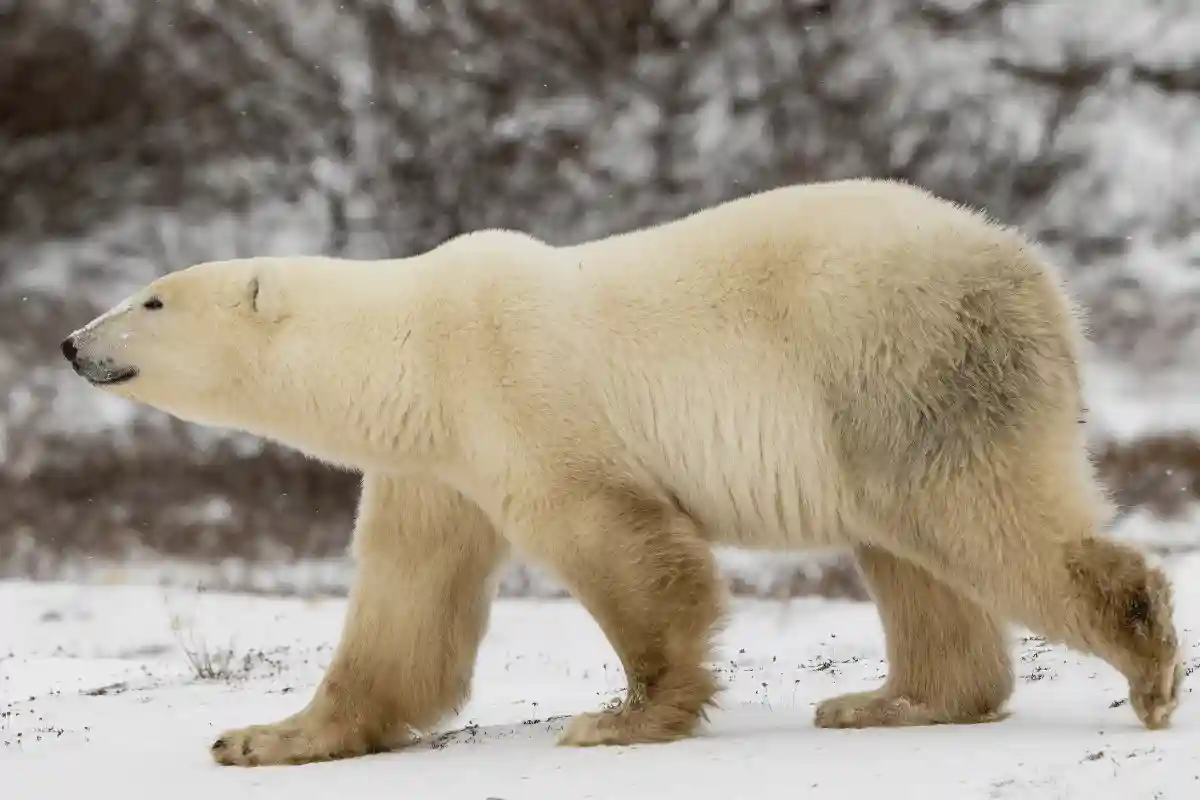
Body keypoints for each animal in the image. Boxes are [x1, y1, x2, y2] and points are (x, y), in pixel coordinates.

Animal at [63, 178, 1180, 767]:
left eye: (152, 299)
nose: (73, 343)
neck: (411, 347)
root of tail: (1036, 273)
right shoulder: (435, 461)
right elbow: (404, 600)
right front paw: (264, 736)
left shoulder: (514, 390)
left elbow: (619, 543)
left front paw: (623, 716)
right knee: (914, 555)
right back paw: (888, 700)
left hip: (901, 364)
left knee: (980, 516)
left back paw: (1145, 653)